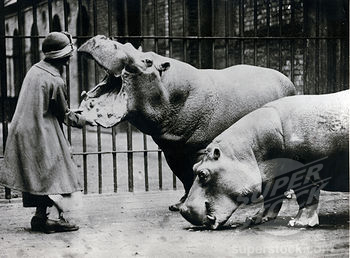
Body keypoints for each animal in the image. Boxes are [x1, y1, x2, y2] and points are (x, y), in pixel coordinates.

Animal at [77, 35, 296, 211]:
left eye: (147, 61)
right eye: (130, 44)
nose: (103, 37)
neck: (170, 89)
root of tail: (288, 80)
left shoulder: (200, 149)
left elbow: (194, 175)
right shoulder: (173, 151)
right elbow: (183, 177)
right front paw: (178, 204)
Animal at [182, 89, 348, 229]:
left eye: (202, 174)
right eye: (194, 167)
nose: (184, 210)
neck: (247, 151)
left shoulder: (305, 173)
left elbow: (306, 197)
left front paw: (297, 223)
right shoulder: (273, 177)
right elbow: (271, 199)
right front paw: (254, 219)